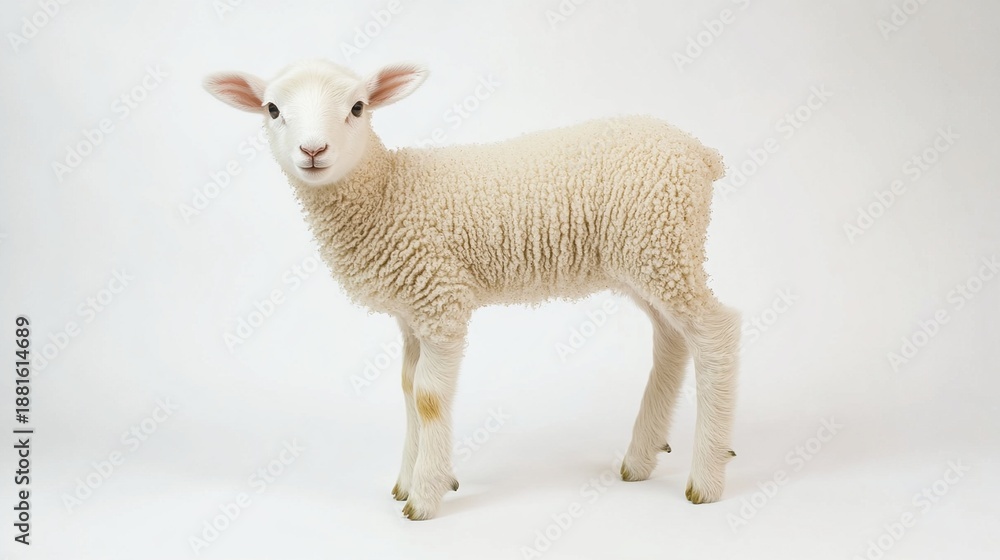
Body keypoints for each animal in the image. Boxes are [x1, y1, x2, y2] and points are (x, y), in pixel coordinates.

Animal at [203, 59, 741, 520]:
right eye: (273, 110)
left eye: (357, 107)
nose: (313, 151)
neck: (386, 191)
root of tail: (701, 153)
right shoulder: (411, 312)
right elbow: (407, 388)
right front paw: (406, 479)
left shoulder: (440, 297)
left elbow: (428, 397)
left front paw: (424, 497)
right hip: (648, 257)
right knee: (672, 340)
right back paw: (641, 458)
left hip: (664, 241)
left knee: (716, 332)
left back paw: (707, 477)